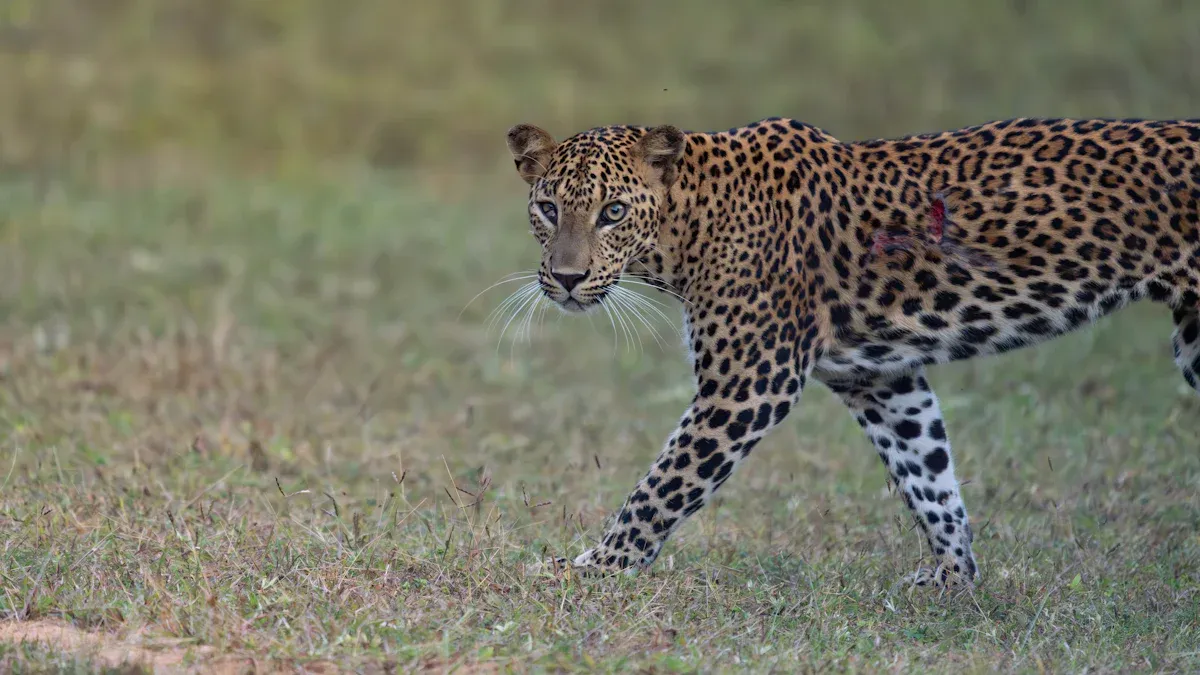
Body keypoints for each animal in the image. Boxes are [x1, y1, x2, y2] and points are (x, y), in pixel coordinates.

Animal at [502, 116, 1200, 589]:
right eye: (548, 208)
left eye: (614, 212)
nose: (565, 279)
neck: (688, 228)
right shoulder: (881, 380)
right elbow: (929, 475)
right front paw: (955, 578)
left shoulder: (749, 382)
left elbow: (663, 486)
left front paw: (593, 568)